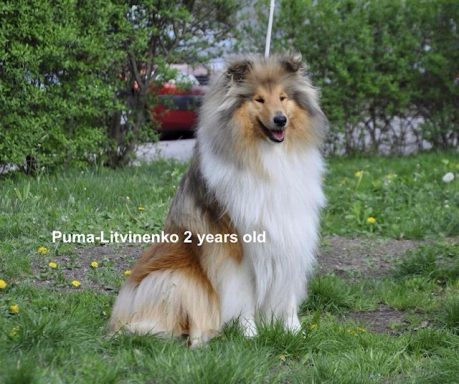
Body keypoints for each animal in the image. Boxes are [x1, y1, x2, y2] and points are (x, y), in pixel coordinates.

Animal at [109, 54, 328, 348]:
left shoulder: (291, 236)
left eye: (283, 97)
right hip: (177, 279)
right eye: (259, 99)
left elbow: (288, 294)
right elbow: (242, 296)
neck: (267, 160)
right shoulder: (237, 249)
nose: (280, 120)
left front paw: (294, 331)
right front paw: (249, 334)